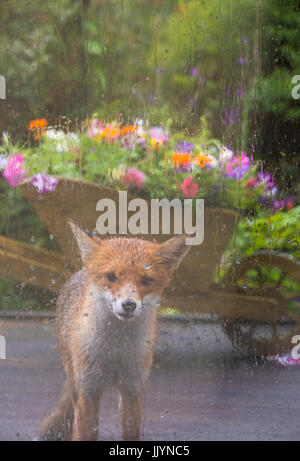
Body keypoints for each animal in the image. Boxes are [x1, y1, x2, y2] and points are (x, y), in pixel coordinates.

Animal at [38, 220, 191, 442]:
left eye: (146, 280)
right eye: (111, 276)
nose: (129, 305)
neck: (114, 349)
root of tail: (81, 271)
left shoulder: (132, 389)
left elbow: (131, 433)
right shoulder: (88, 390)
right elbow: (84, 432)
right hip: (75, 381)